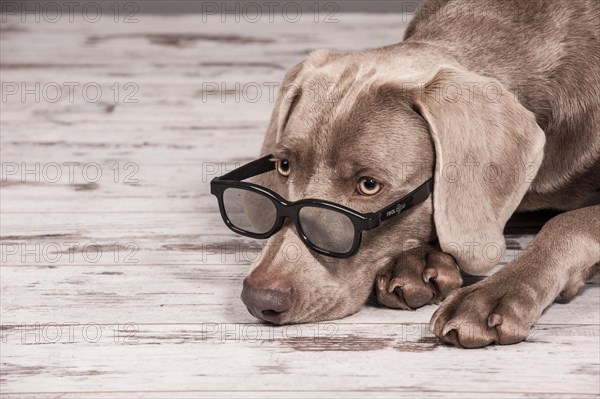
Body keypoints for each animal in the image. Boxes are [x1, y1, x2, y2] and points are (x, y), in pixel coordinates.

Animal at [239, 0, 600, 346]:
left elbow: (567, 223)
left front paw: (492, 297)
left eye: (368, 185)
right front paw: (416, 263)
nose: (259, 298)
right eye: (285, 166)